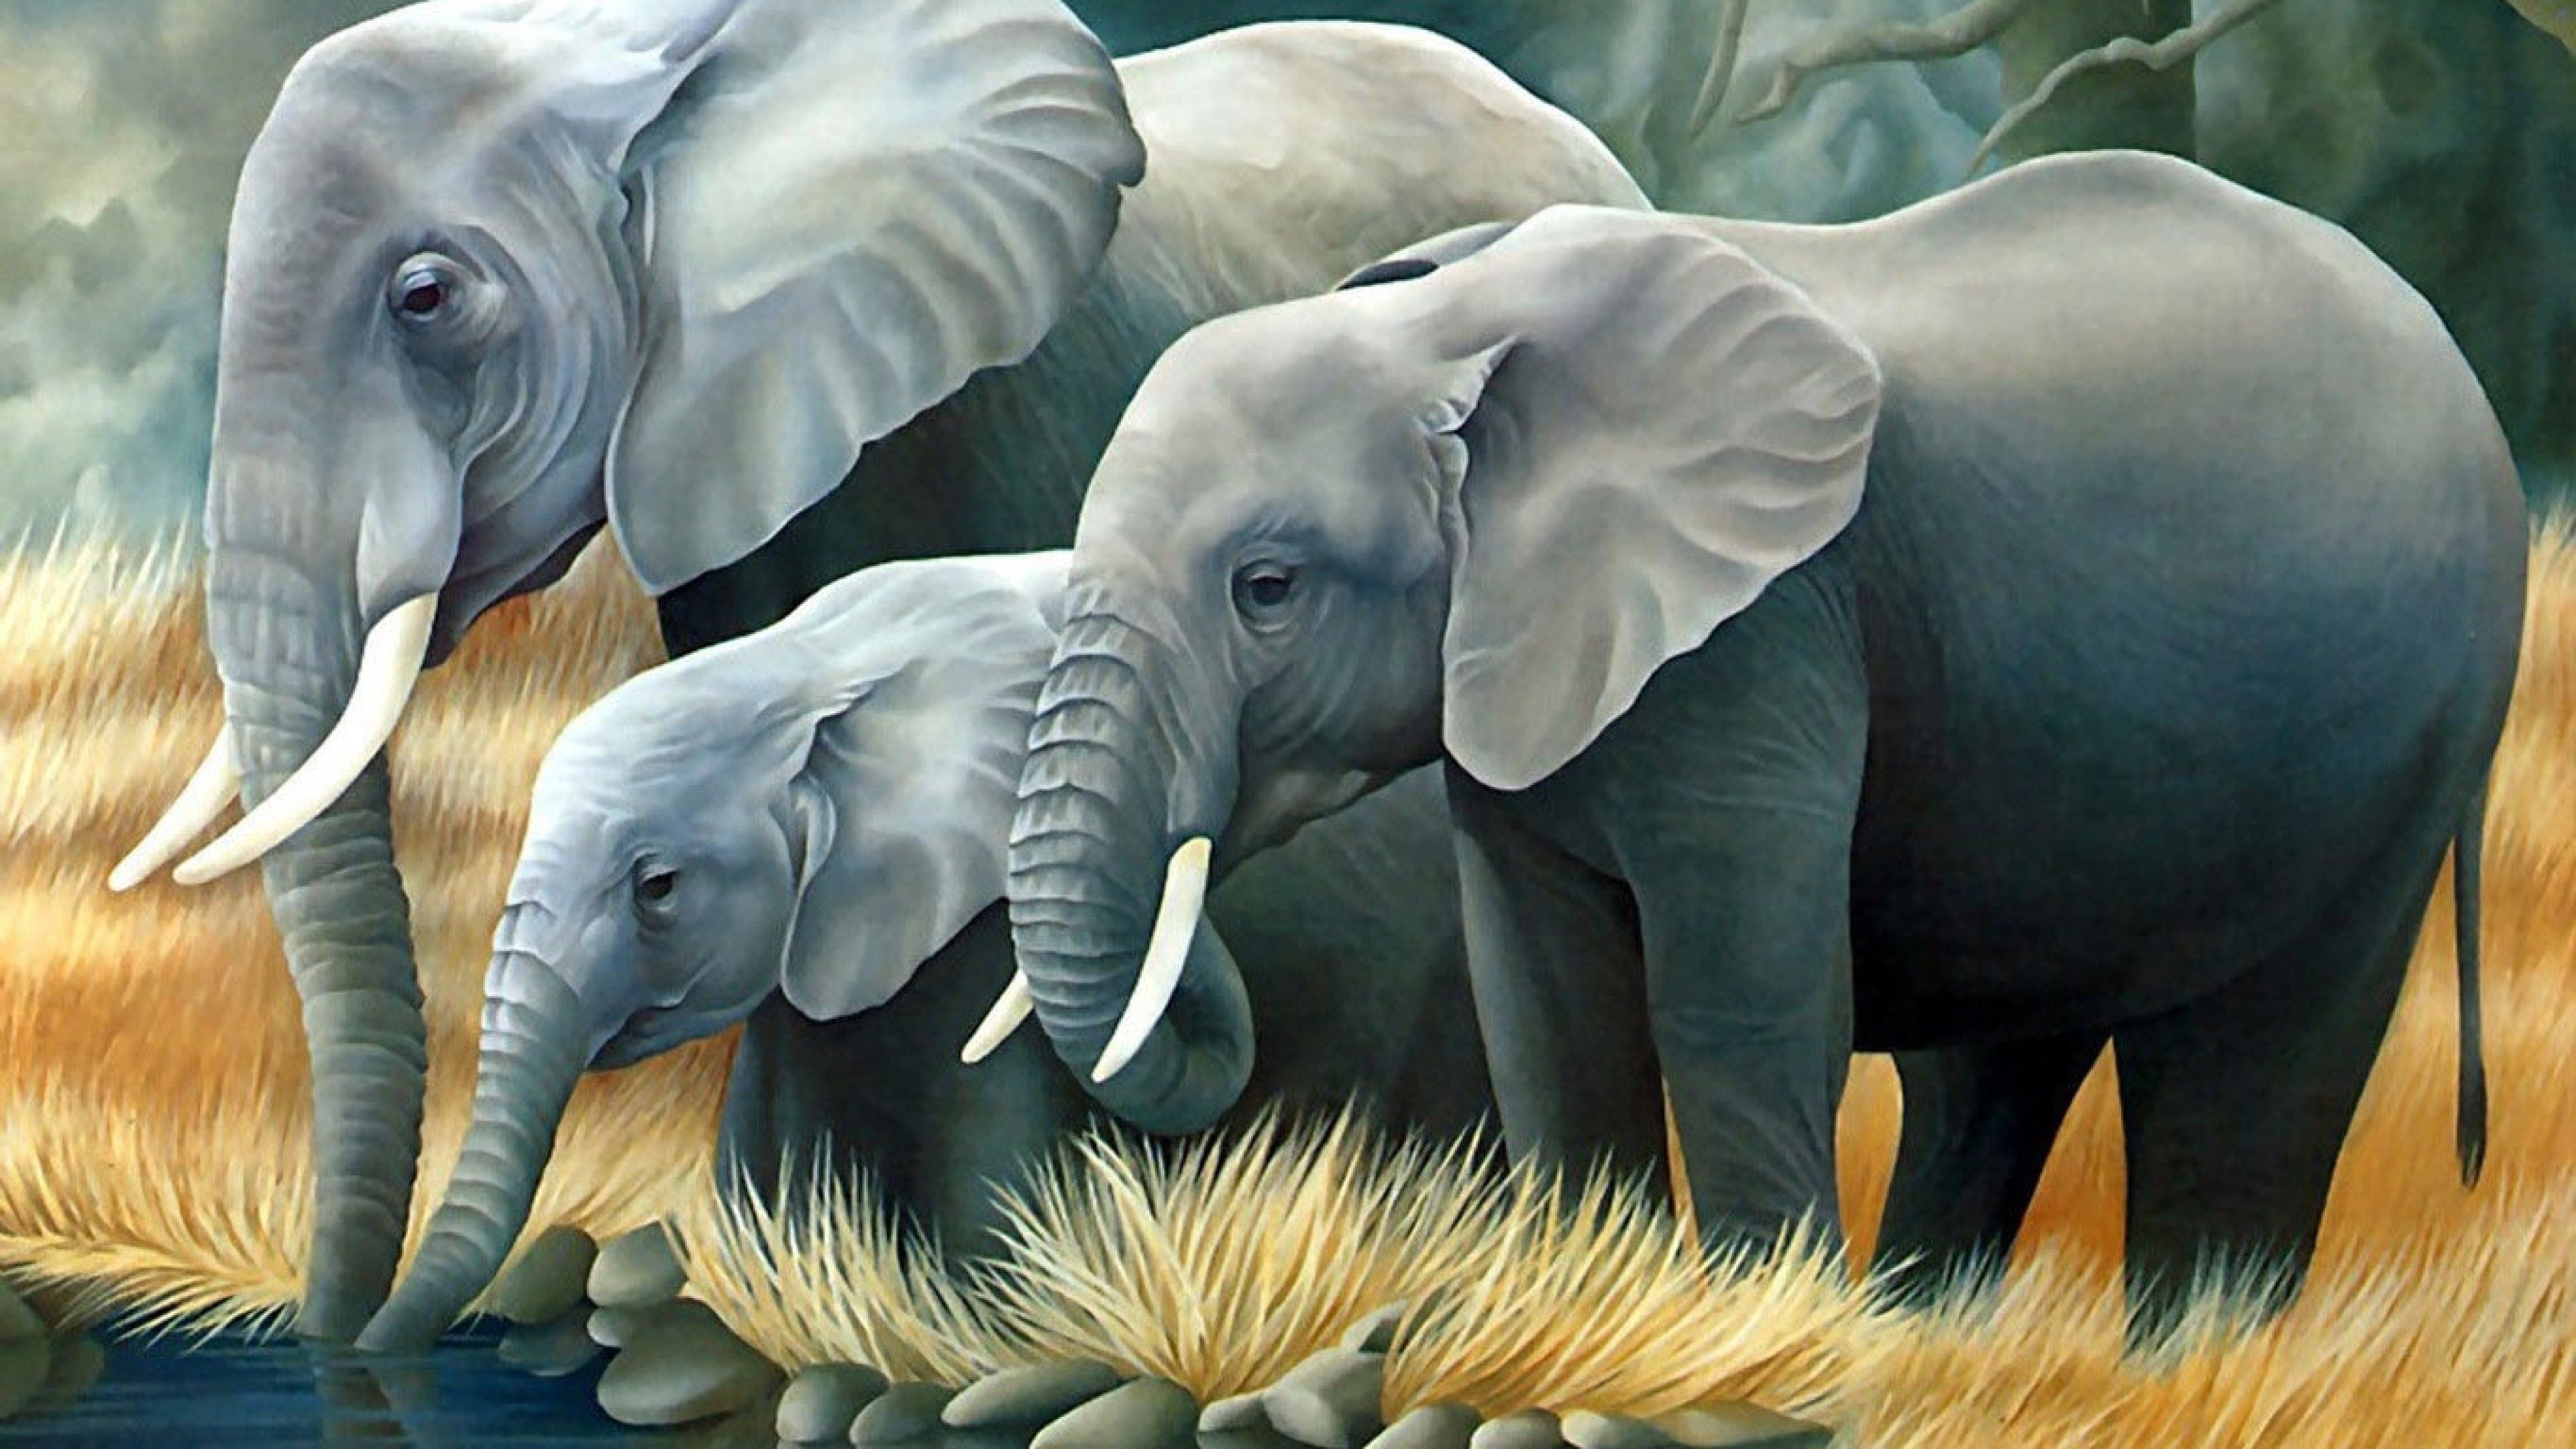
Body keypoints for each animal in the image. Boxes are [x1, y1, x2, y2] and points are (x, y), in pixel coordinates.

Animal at [996, 150, 2527, 1334]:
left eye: (1268, 589)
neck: (1448, 325)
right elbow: (1548, 1007)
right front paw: (1586, 1311)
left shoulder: (1765, 625)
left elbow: (1735, 1001)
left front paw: (1758, 1337)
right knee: (1997, 1064)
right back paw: (1935, 1333)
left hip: (2415, 723)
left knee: (2257, 1060)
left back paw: (2185, 1356)